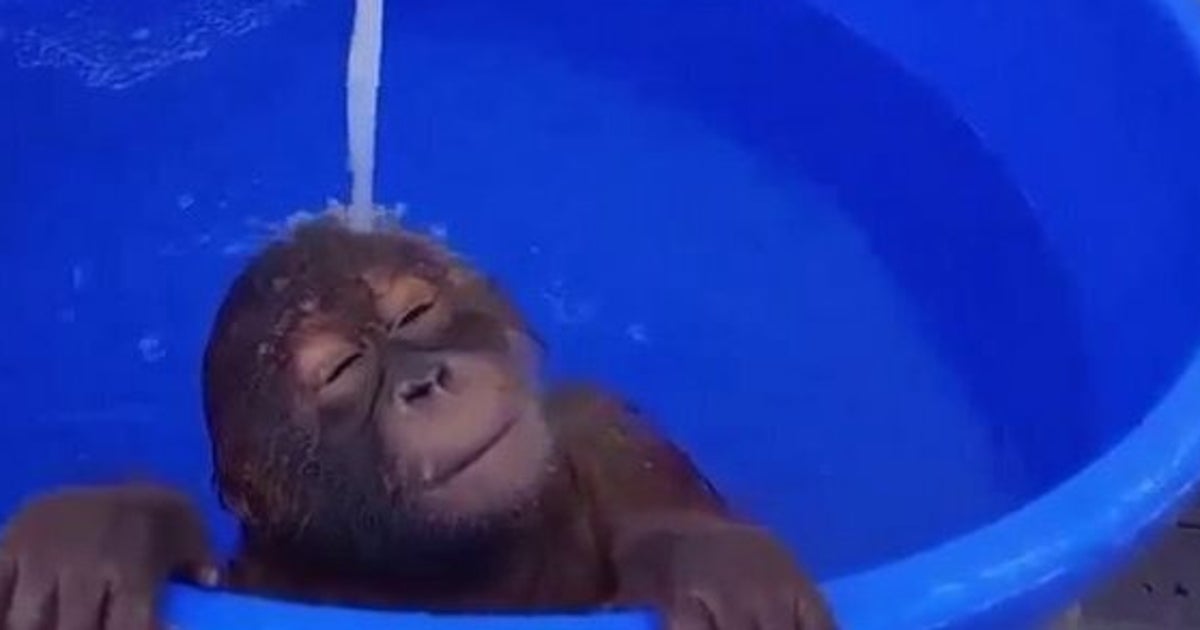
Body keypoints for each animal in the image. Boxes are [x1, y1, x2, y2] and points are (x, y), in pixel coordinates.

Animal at [0, 215, 837, 630]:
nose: (423, 380)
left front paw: (711, 556)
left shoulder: (608, 427)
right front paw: (104, 525)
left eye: (414, 312)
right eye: (342, 371)